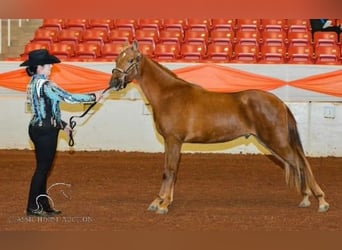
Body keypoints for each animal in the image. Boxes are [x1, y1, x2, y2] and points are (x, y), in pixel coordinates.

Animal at [109, 41, 328, 215]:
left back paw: (321, 201)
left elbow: (171, 171)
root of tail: (279, 102)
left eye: (131, 60)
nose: (114, 82)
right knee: (297, 164)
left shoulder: (174, 140)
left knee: (302, 163)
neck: (169, 95)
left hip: (277, 142)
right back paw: (306, 198)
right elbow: (166, 171)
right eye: (116, 60)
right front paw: (158, 201)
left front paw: (164, 204)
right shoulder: (169, 142)